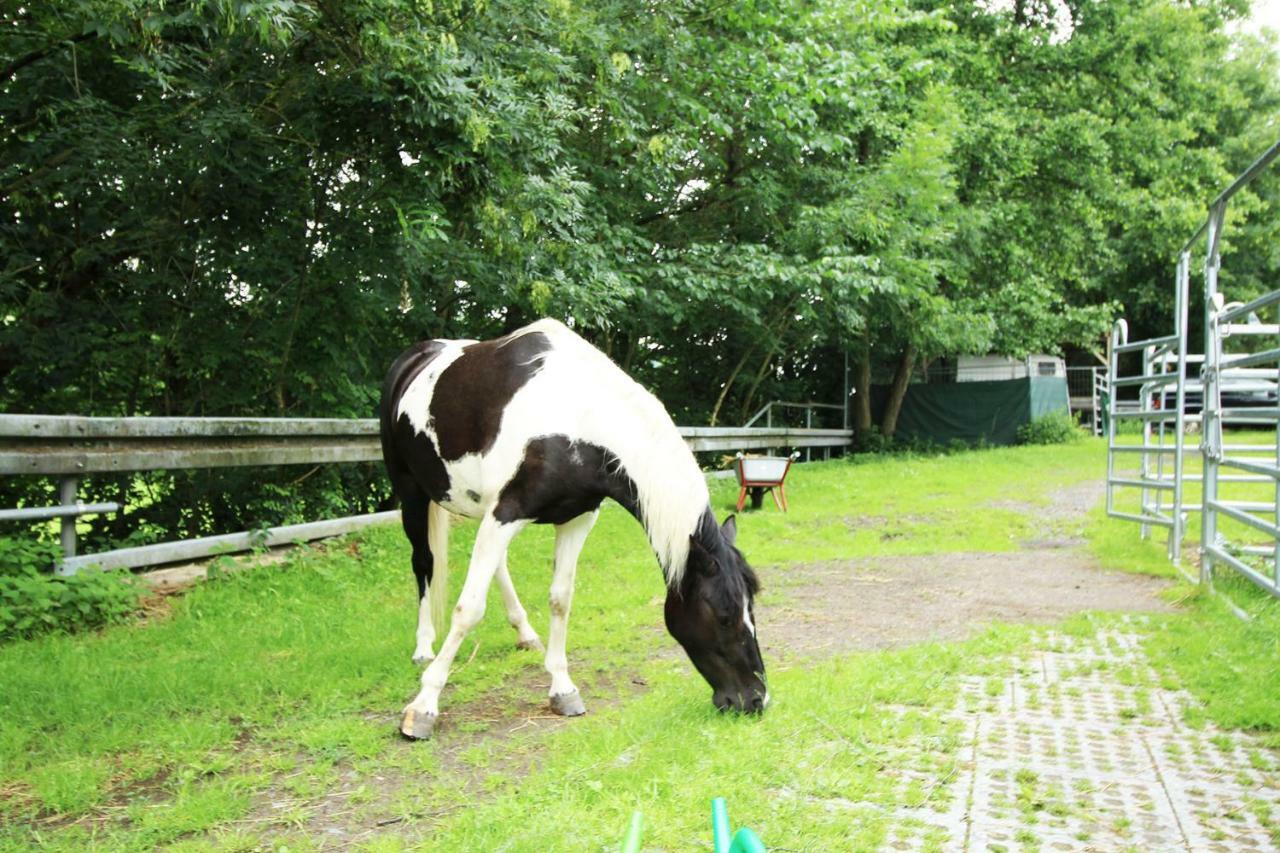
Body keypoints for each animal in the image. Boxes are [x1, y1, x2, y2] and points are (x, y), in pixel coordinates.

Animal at [373, 318, 762, 737]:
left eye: (752, 608)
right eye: (723, 616)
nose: (756, 699)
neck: (576, 417)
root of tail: (416, 356)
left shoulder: (575, 517)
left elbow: (560, 599)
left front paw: (562, 689)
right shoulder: (506, 511)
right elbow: (468, 608)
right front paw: (423, 706)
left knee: (497, 566)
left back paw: (525, 633)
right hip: (411, 491)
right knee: (424, 562)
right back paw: (423, 647)